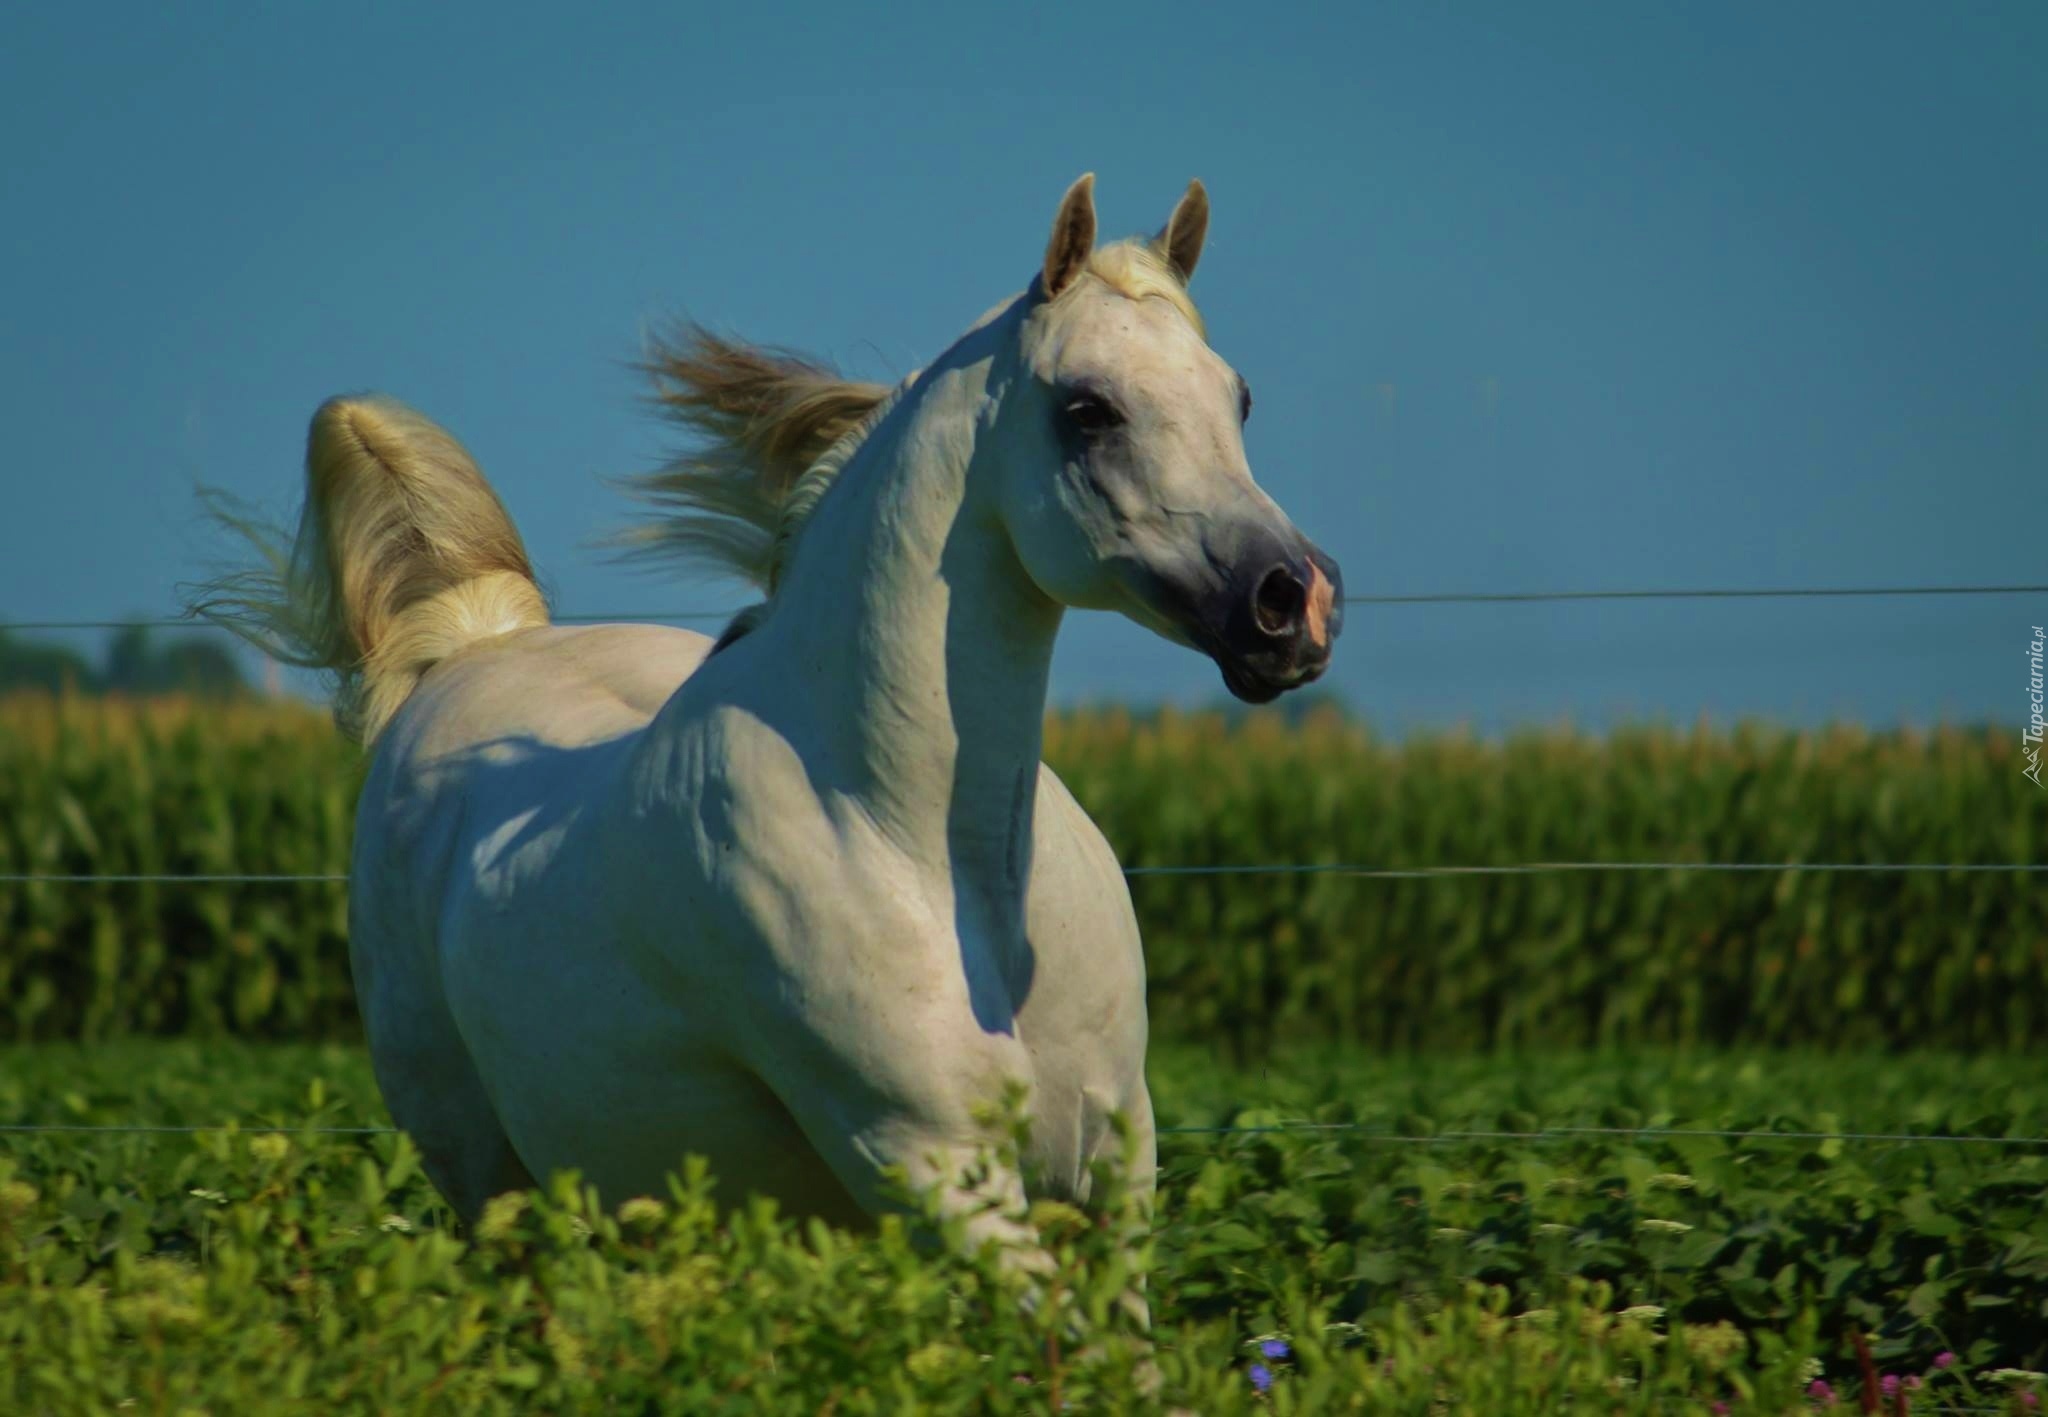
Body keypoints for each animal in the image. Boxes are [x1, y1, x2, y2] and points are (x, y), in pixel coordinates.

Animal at [192, 172, 1343, 1253]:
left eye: (1237, 397)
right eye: (1087, 409)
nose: (1293, 601)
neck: (939, 863)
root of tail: (472, 646)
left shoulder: (1114, 1170)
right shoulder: (938, 1173)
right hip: (490, 1183)